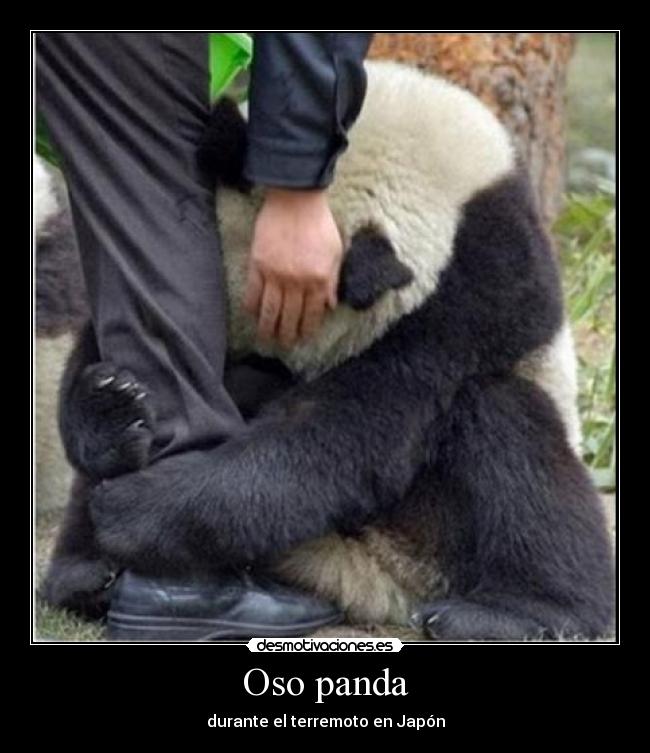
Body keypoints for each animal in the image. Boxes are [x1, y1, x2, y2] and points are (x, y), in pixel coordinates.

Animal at [41, 60, 614, 640]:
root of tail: (360, 576)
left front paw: (140, 506)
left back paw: (518, 612)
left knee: (515, 441)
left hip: (437, 531)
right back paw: (88, 574)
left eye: (277, 331)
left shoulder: (474, 291)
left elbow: (353, 427)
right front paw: (108, 406)